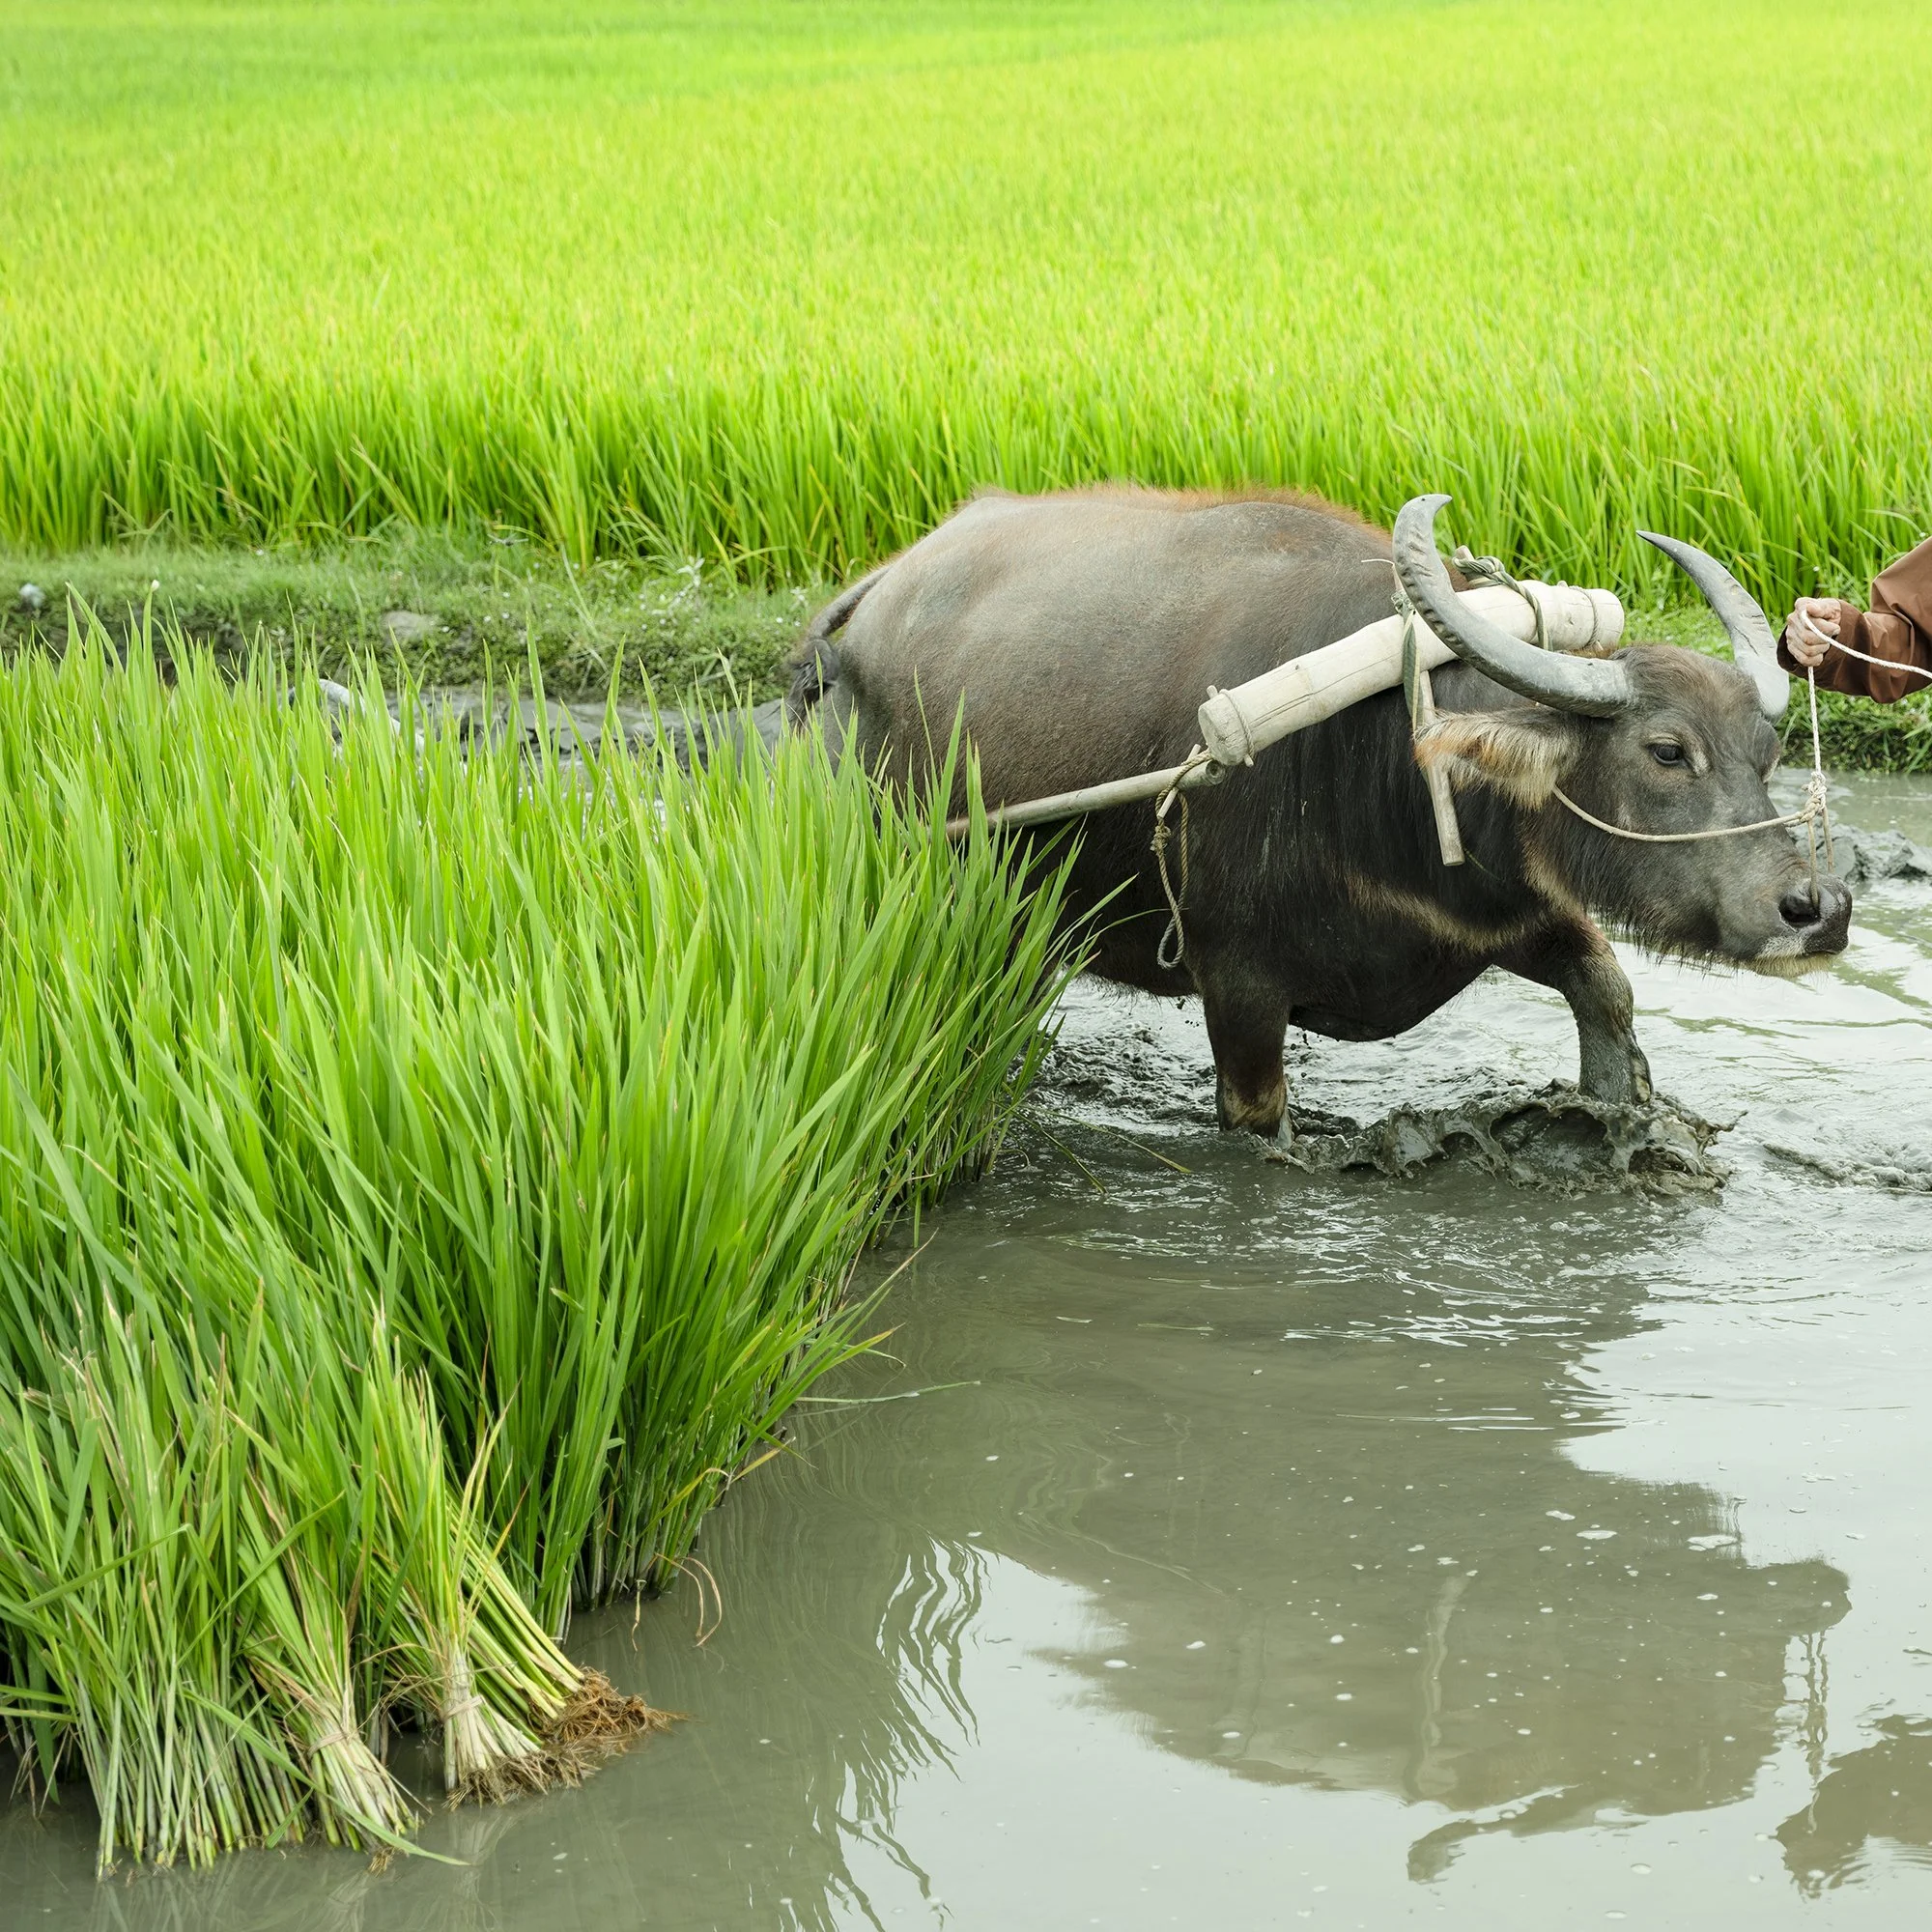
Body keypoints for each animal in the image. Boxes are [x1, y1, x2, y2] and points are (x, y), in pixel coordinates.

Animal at [788, 487, 1851, 1135]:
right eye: (1665, 750)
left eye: (1766, 754)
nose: (1816, 909)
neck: (1382, 762)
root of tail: (878, 593)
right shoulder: (1239, 985)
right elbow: (1260, 1119)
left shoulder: (1498, 911)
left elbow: (1607, 992)